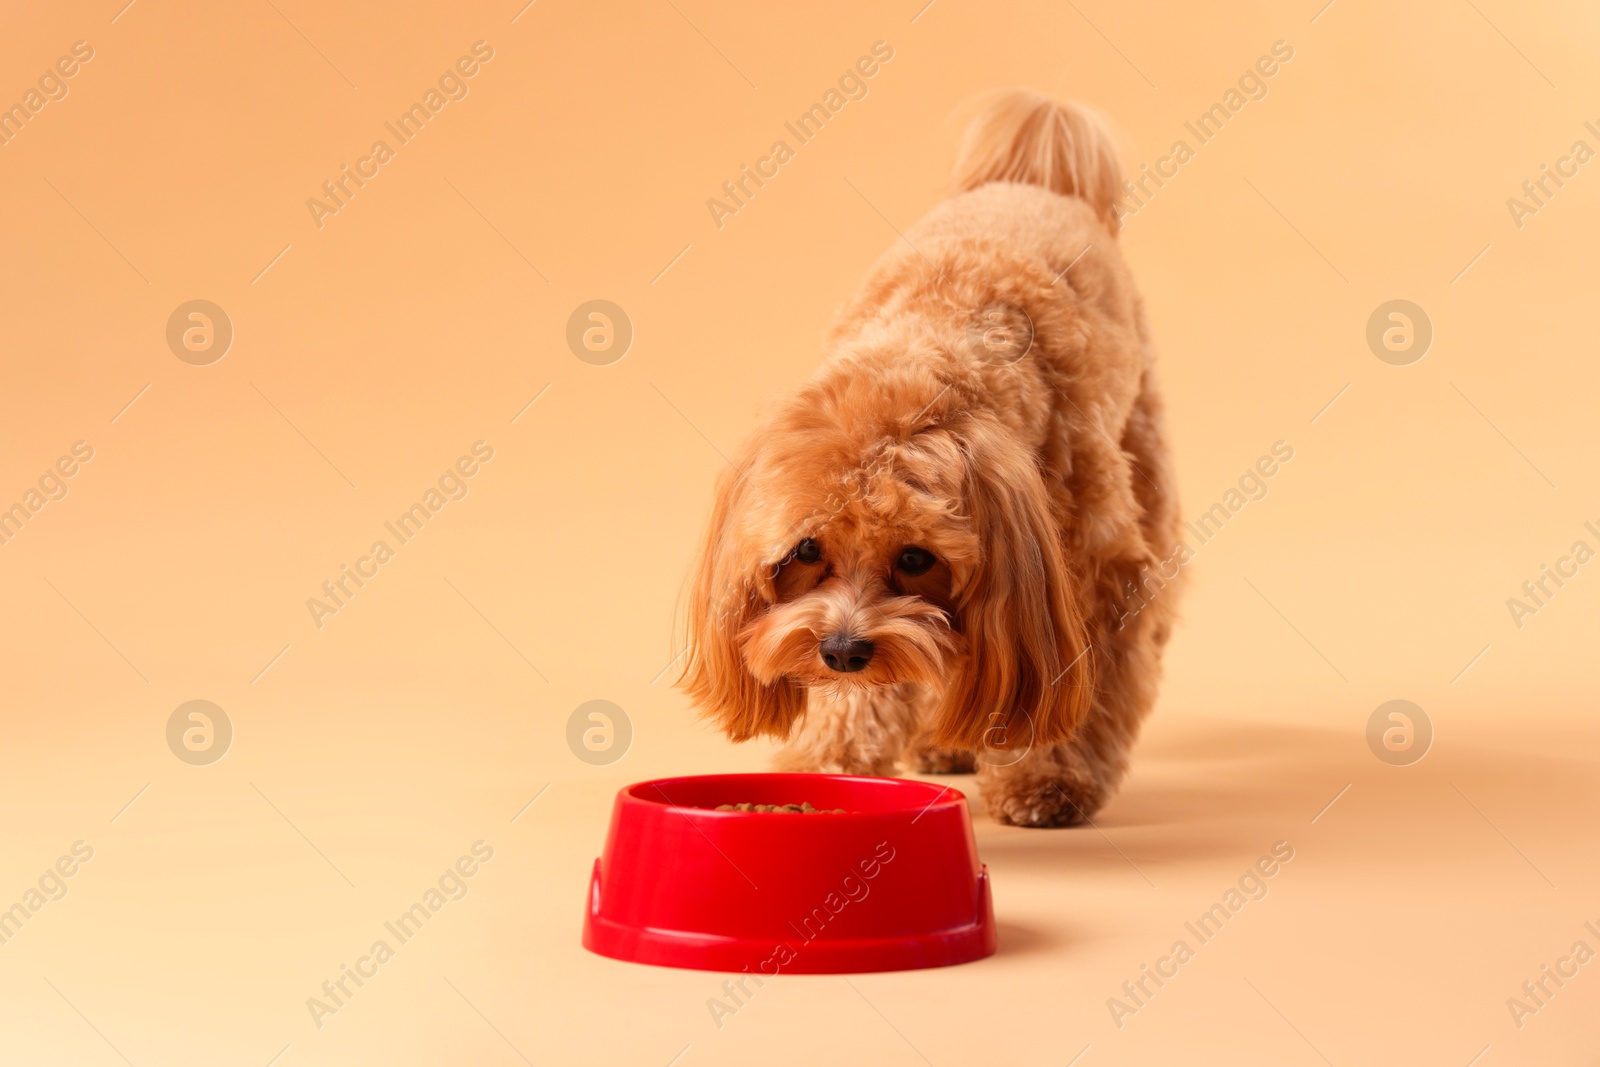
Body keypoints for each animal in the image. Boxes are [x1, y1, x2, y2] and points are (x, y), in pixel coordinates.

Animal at [681, 89, 1184, 825]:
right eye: (806, 550)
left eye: (916, 558)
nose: (842, 650)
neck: (931, 337)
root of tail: (1030, 180)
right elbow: (863, 698)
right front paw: (832, 765)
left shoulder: (1089, 578)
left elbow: (1069, 691)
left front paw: (1048, 779)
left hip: (1144, 453)